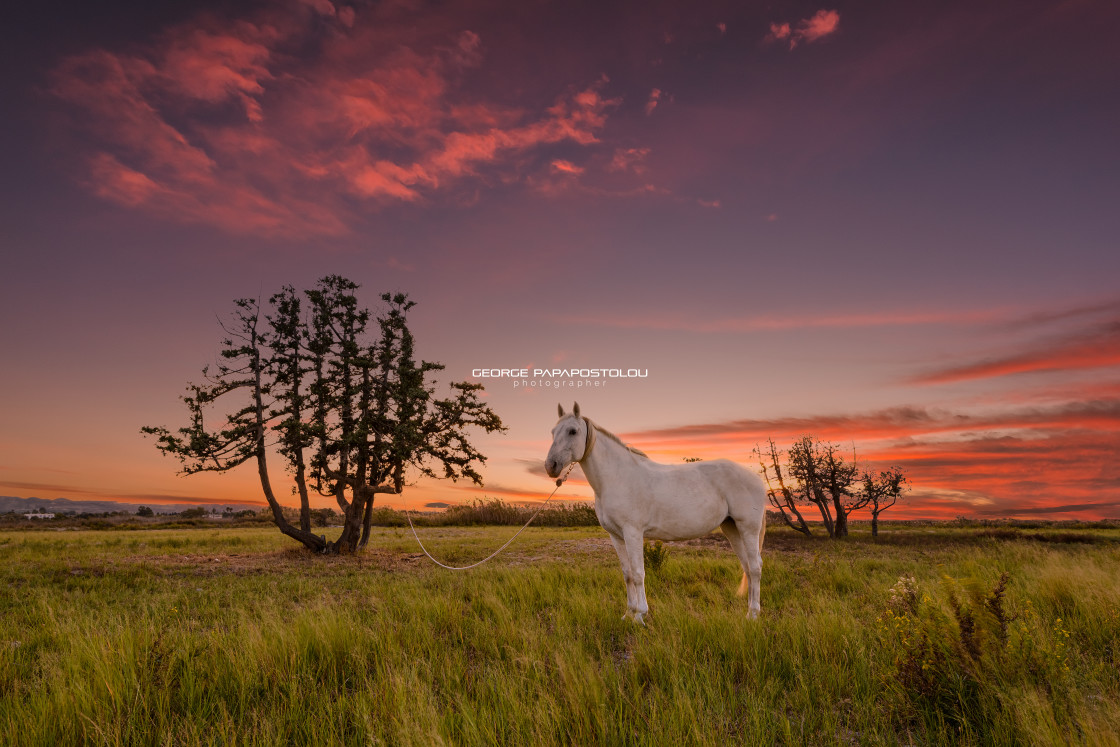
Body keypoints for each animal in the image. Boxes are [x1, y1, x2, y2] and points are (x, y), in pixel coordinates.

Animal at [544, 405, 770, 622]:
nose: (550, 466)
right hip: (732, 528)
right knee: (747, 567)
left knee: (755, 567)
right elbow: (627, 574)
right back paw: (749, 612)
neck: (617, 477)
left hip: (748, 528)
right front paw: (628, 613)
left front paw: (640, 615)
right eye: (553, 432)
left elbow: (638, 573)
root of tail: (756, 479)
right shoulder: (616, 536)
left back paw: (754, 615)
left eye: (573, 431)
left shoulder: (633, 532)